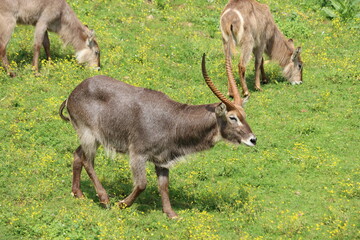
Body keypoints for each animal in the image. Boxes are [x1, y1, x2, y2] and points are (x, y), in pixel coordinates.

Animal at [58, 53, 256, 218]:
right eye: (232, 117)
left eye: (244, 115)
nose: (253, 139)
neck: (174, 120)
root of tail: (73, 92)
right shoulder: (137, 154)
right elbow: (142, 184)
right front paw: (122, 204)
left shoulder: (162, 160)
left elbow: (164, 186)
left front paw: (171, 214)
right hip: (89, 135)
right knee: (88, 161)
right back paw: (104, 198)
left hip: (93, 138)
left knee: (78, 155)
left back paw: (78, 193)